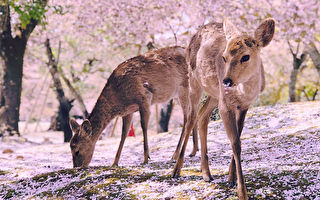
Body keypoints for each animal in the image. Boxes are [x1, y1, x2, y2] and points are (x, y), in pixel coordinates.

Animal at [68, 47, 198, 169]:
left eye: (77, 150)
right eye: (70, 148)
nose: (77, 167)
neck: (119, 97)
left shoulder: (144, 97)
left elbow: (143, 126)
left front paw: (145, 158)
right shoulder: (128, 111)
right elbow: (124, 133)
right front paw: (114, 162)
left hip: (184, 88)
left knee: (187, 118)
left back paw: (175, 154)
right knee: (193, 114)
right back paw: (194, 151)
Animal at [172, 18, 276, 200]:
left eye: (246, 56)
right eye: (224, 57)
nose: (227, 80)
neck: (243, 93)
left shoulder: (244, 106)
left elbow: (238, 138)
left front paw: (231, 178)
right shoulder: (225, 105)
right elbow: (235, 143)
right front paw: (242, 192)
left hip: (214, 94)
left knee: (202, 116)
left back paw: (206, 173)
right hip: (194, 81)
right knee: (191, 118)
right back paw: (176, 170)